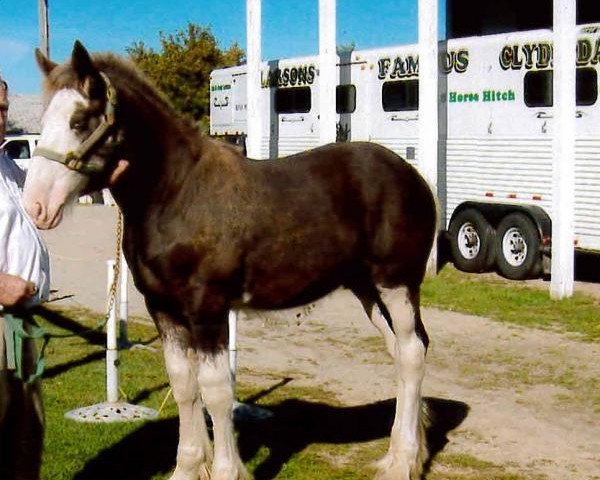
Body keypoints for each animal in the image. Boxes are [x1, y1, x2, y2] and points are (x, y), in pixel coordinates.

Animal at [23, 42, 438, 480]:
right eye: (45, 120)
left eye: (80, 120)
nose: (36, 206)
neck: (177, 194)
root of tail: (412, 175)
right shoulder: (163, 309)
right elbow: (184, 385)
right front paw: (188, 467)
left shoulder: (208, 310)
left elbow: (217, 391)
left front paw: (224, 469)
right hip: (365, 287)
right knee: (399, 352)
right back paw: (396, 455)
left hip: (396, 283)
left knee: (413, 352)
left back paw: (404, 461)